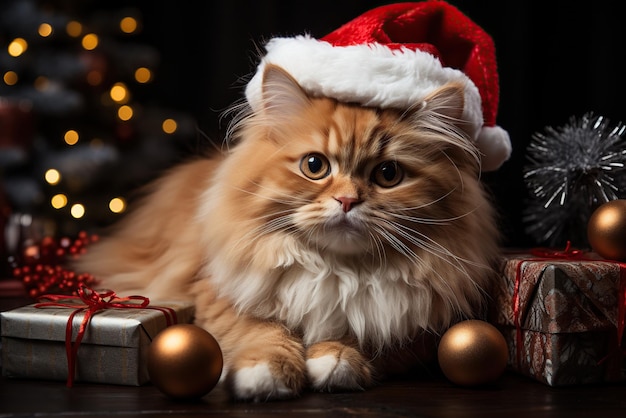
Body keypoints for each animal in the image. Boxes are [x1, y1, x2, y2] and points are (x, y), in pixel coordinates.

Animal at [75, 63, 500, 400]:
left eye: (388, 174)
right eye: (315, 165)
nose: (347, 201)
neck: (337, 270)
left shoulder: (413, 329)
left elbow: (356, 332)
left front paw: (334, 361)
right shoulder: (213, 292)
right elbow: (262, 330)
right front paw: (268, 372)